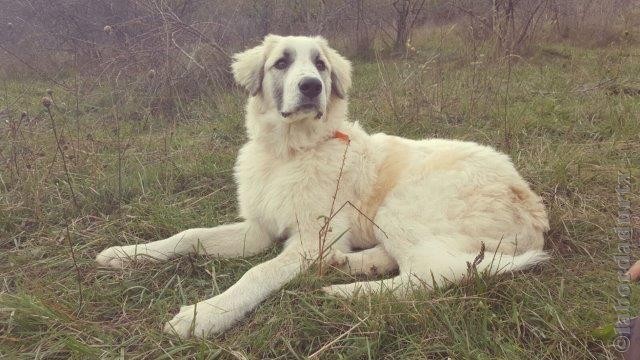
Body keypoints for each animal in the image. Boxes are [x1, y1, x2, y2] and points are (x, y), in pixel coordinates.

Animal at [96, 33, 552, 338]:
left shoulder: (310, 238)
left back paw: (346, 292)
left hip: (403, 206)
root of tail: (530, 206)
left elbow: (258, 273)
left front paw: (206, 314)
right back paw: (348, 266)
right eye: (281, 63)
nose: (311, 87)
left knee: (434, 273)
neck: (290, 153)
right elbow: (190, 235)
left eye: (320, 66)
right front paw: (126, 253)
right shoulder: (260, 229)